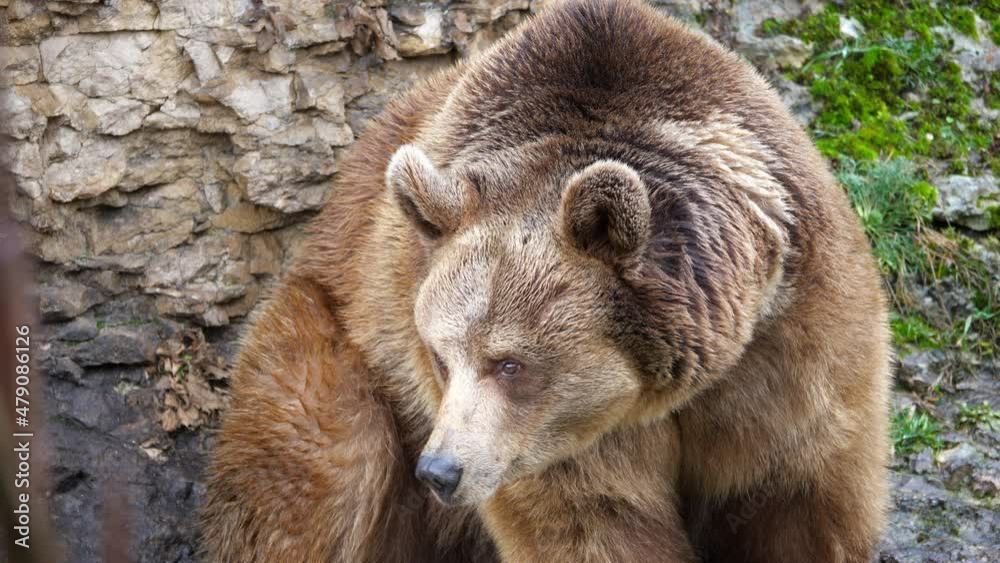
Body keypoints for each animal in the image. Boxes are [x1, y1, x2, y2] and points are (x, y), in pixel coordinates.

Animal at [200, 0, 892, 562]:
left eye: (510, 363)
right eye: (441, 357)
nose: (441, 471)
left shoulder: (792, 346)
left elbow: (801, 500)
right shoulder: (554, 440)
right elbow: (594, 522)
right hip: (342, 348)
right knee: (314, 465)